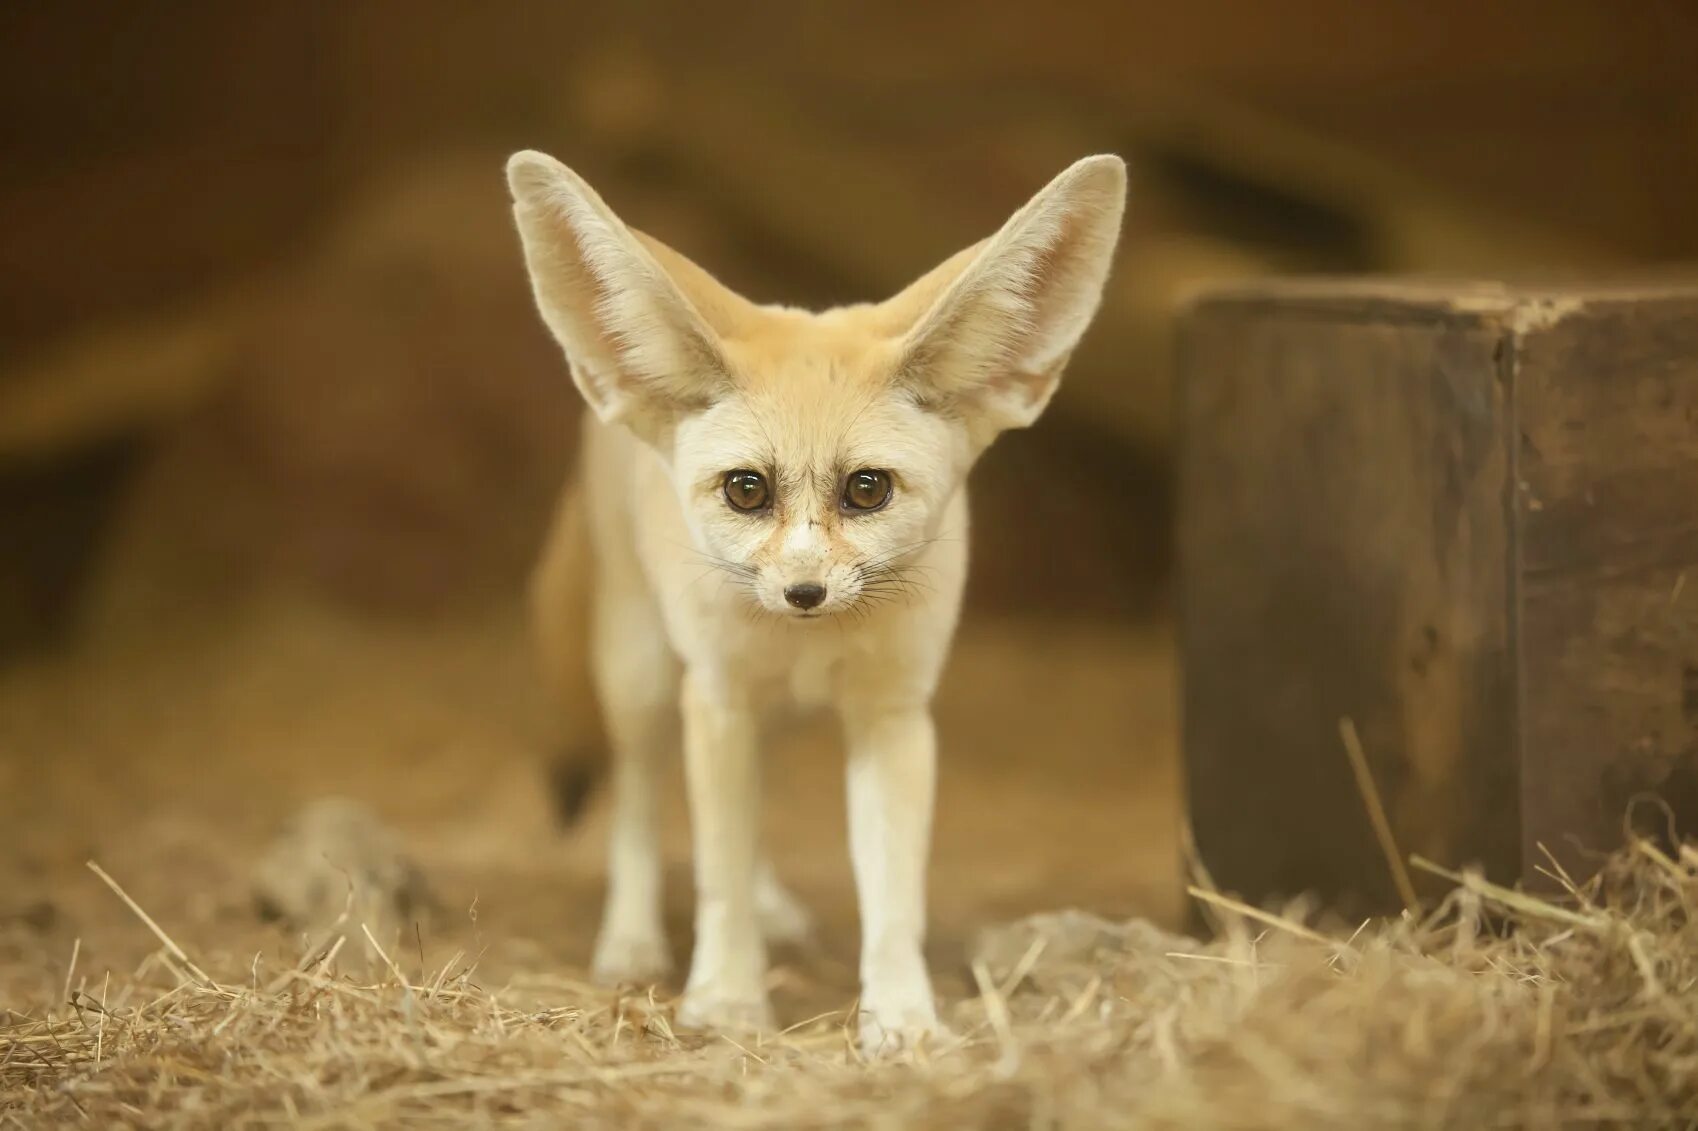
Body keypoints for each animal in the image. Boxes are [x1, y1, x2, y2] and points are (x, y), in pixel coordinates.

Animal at [509, 149, 1134, 1046]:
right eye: (747, 489)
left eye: (867, 489)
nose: (803, 589)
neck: (806, 643)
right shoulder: (719, 696)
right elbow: (718, 870)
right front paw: (726, 999)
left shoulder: (893, 713)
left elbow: (892, 896)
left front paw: (902, 1017)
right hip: (645, 679)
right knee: (635, 795)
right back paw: (630, 939)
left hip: (762, 712)